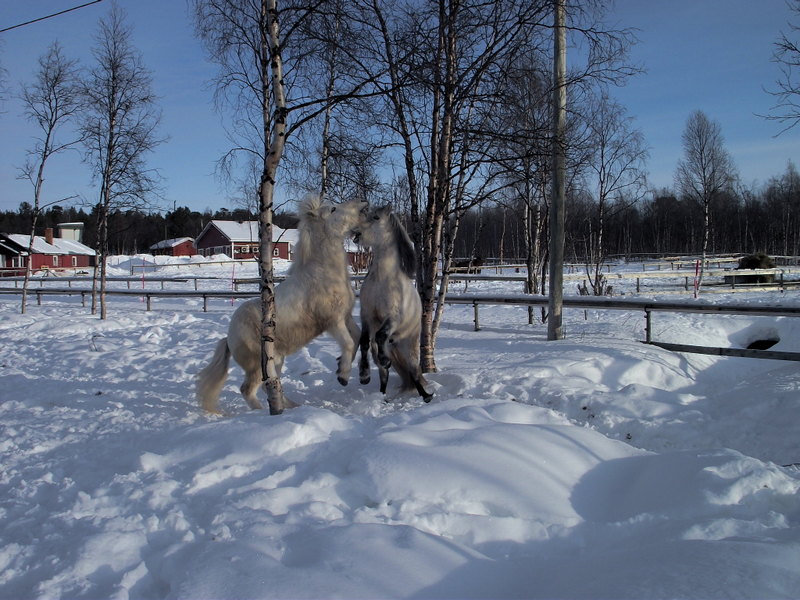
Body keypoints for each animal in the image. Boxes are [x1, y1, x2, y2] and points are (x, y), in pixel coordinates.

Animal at [197, 195, 366, 414]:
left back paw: (293, 407)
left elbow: (357, 338)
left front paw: (340, 366)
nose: (362, 206)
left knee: (272, 385)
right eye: (333, 209)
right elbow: (348, 343)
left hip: (275, 360)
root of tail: (229, 337)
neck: (322, 273)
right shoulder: (332, 322)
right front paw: (343, 376)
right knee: (248, 389)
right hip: (256, 364)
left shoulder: (345, 317)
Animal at [354, 205, 432, 404]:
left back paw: (427, 396)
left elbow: (380, 335)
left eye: (376, 217)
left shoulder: (393, 318)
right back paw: (382, 397)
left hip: (408, 348)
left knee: (414, 372)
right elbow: (364, 342)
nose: (355, 232)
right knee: (385, 375)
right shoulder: (366, 316)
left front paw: (384, 359)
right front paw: (364, 375)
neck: (382, 280)